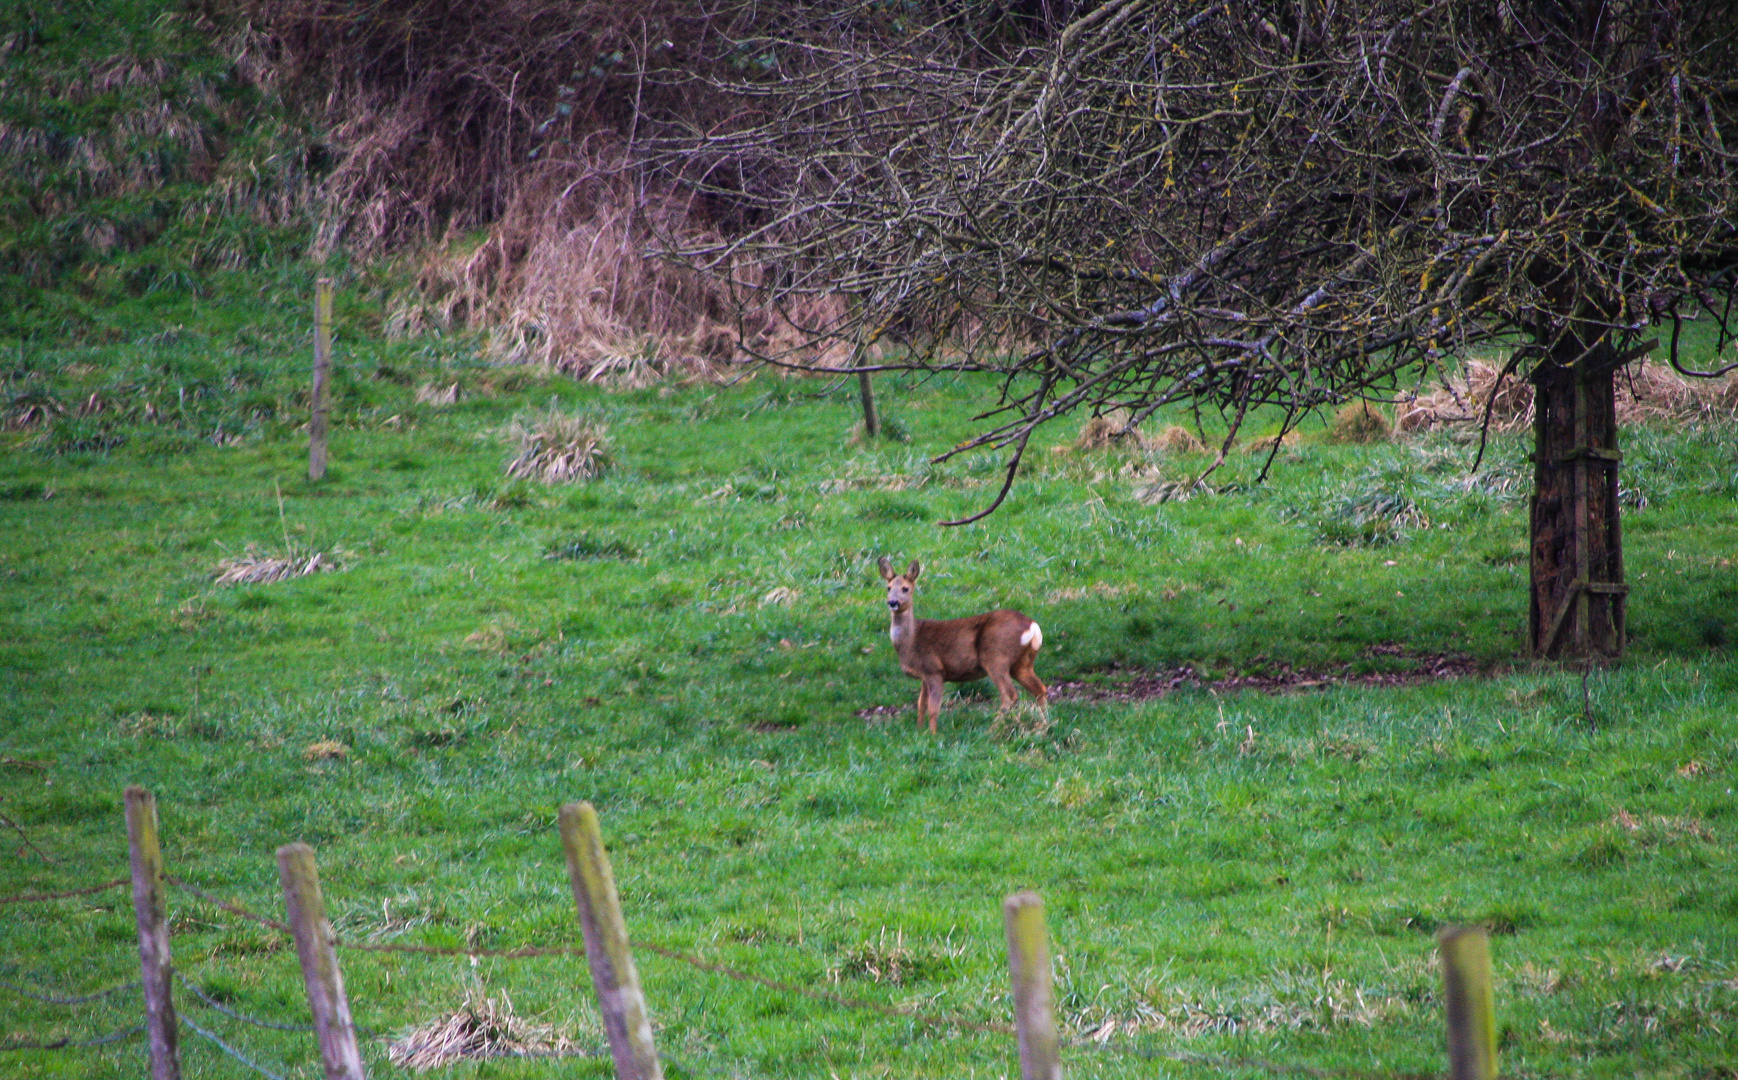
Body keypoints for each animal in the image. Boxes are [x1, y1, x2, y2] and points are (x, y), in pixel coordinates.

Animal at [875, 556, 1049, 733]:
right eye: (888, 588)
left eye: (905, 588)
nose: (892, 602)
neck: (912, 640)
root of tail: (1032, 627)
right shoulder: (924, 675)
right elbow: (921, 704)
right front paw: (919, 730)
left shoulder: (935, 670)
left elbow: (933, 708)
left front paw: (932, 734)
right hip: (1022, 663)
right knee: (1040, 690)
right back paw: (1043, 726)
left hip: (996, 657)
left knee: (1010, 695)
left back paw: (992, 730)